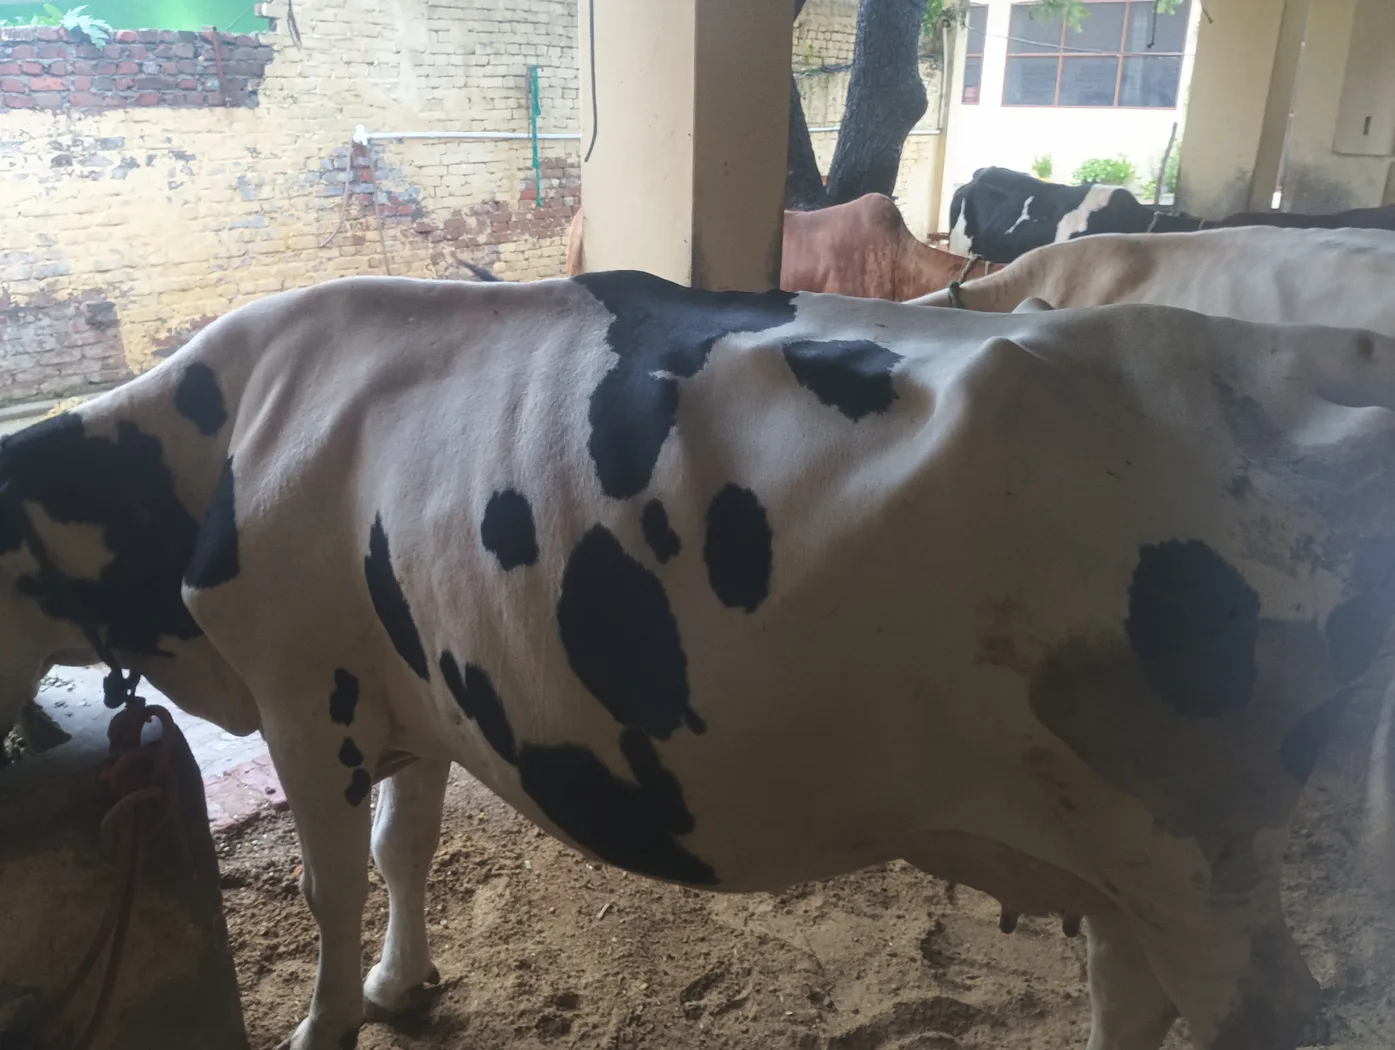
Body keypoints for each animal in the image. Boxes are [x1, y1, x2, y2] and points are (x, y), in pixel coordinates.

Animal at [3, 272, 1395, 1050]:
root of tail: (1286, 350)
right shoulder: (413, 695)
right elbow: (408, 850)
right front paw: (404, 987)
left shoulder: (306, 697)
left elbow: (329, 888)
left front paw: (328, 1019)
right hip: (1128, 852)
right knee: (1131, 990)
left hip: (1197, 853)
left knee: (1255, 1014)